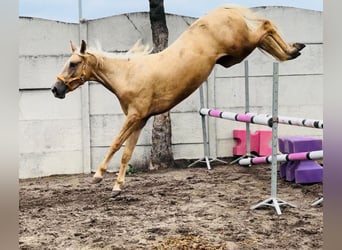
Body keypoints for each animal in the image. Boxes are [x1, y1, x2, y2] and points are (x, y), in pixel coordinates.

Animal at [51, 6, 304, 197]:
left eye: (73, 63)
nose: (55, 89)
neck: (128, 74)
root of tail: (225, 9)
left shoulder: (134, 116)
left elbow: (114, 144)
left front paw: (98, 176)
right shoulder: (140, 120)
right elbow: (126, 153)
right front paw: (117, 187)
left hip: (241, 46)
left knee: (266, 26)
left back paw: (294, 49)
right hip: (233, 57)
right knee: (265, 36)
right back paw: (293, 50)